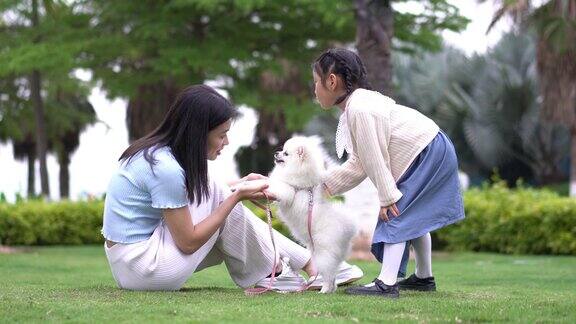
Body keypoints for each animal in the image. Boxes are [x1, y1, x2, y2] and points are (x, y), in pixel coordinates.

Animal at [268, 135, 358, 292]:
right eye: (282, 151)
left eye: (286, 154)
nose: (276, 153)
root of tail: (347, 230)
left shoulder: (289, 190)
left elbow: (279, 187)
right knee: (333, 275)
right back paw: (330, 289)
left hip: (323, 255)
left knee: (328, 275)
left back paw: (324, 290)